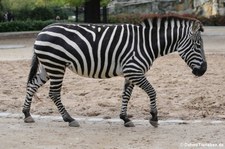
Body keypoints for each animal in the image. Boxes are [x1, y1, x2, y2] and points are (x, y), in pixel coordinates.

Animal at [22, 14, 207, 127]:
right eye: (198, 46)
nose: (204, 70)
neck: (147, 43)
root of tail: (42, 31)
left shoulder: (131, 72)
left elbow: (126, 95)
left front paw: (125, 118)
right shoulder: (134, 70)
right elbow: (152, 91)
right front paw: (154, 117)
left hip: (48, 66)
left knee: (32, 85)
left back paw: (27, 114)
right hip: (56, 66)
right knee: (53, 93)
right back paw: (69, 119)